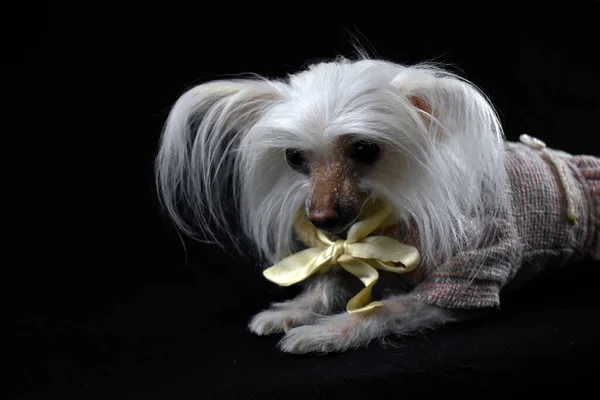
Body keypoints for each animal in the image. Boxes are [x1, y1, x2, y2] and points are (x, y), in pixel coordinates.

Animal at [156, 54, 600, 354]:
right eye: (293, 158)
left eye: (366, 150)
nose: (321, 218)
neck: (383, 219)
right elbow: (328, 283)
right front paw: (290, 311)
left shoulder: (465, 277)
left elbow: (382, 311)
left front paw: (324, 331)